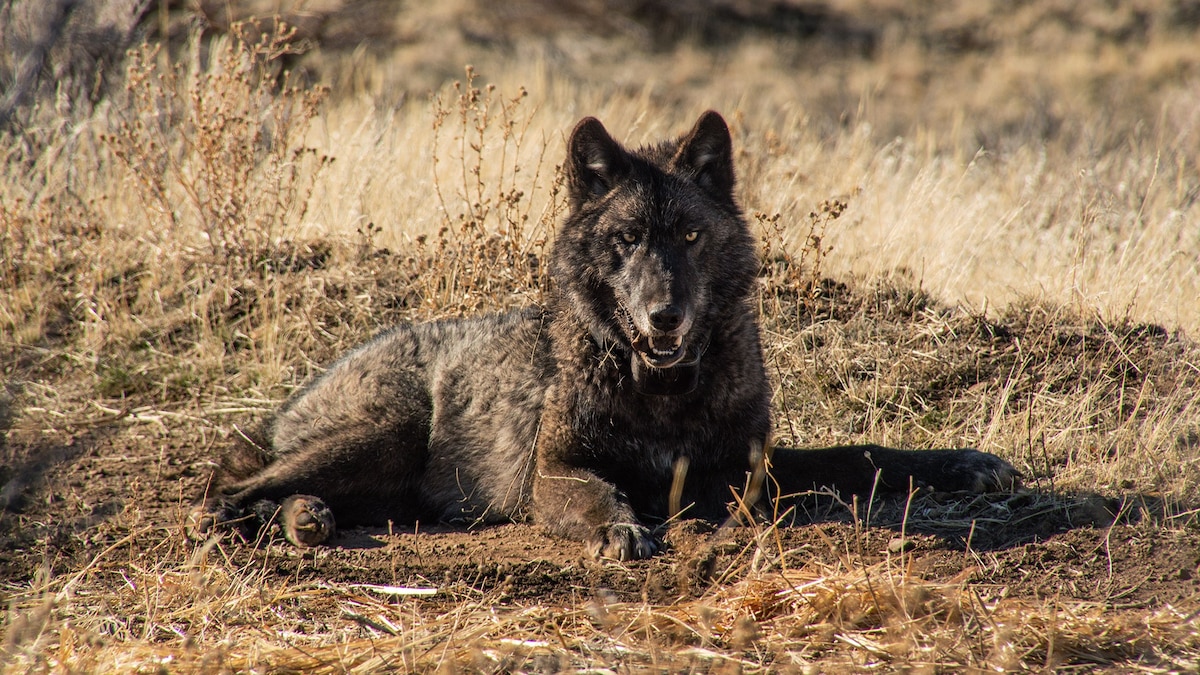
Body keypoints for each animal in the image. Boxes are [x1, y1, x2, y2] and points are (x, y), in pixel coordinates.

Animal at [189, 111, 1018, 560]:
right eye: (625, 240)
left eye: (688, 235)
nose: (664, 317)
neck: (663, 392)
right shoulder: (554, 472)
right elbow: (599, 492)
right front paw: (622, 529)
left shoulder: (749, 465)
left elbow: (867, 456)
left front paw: (966, 463)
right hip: (386, 432)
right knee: (226, 489)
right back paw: (256, 522)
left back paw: (305, 519)